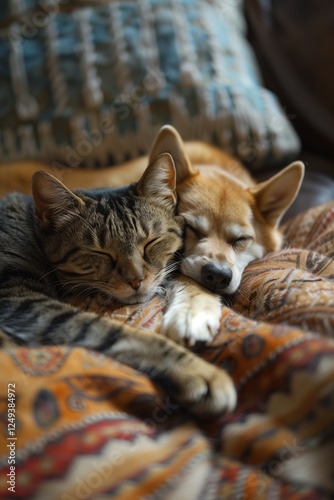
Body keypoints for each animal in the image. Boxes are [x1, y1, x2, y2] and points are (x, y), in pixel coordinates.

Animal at [0, 154, 236, 416]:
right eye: (101, 253)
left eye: (151, 242)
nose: (135, 279)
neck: (33, 233)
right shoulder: (18, 301)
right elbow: (120, 334)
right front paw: (199, 372)